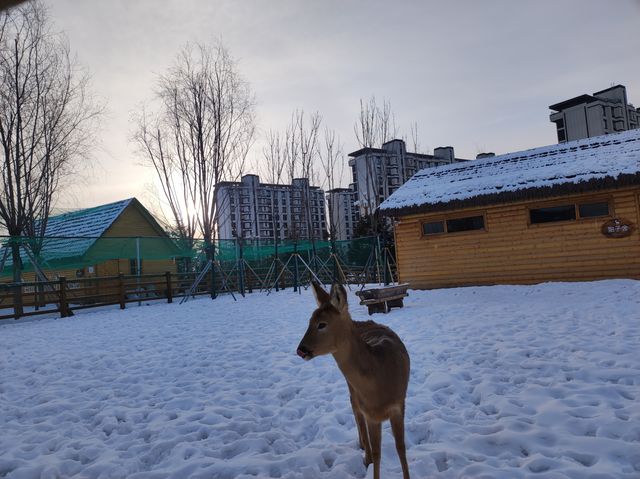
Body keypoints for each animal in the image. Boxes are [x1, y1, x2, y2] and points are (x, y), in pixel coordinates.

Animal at [296, 282, 410, 479]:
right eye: (309, 321)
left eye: (322, 324)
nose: (301, 349)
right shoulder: (371, 413)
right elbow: (378, 453)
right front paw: (370, 458)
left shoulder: (399, 404)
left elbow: (401, 448)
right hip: (351, 388)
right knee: (355, 410)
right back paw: (365, 451)